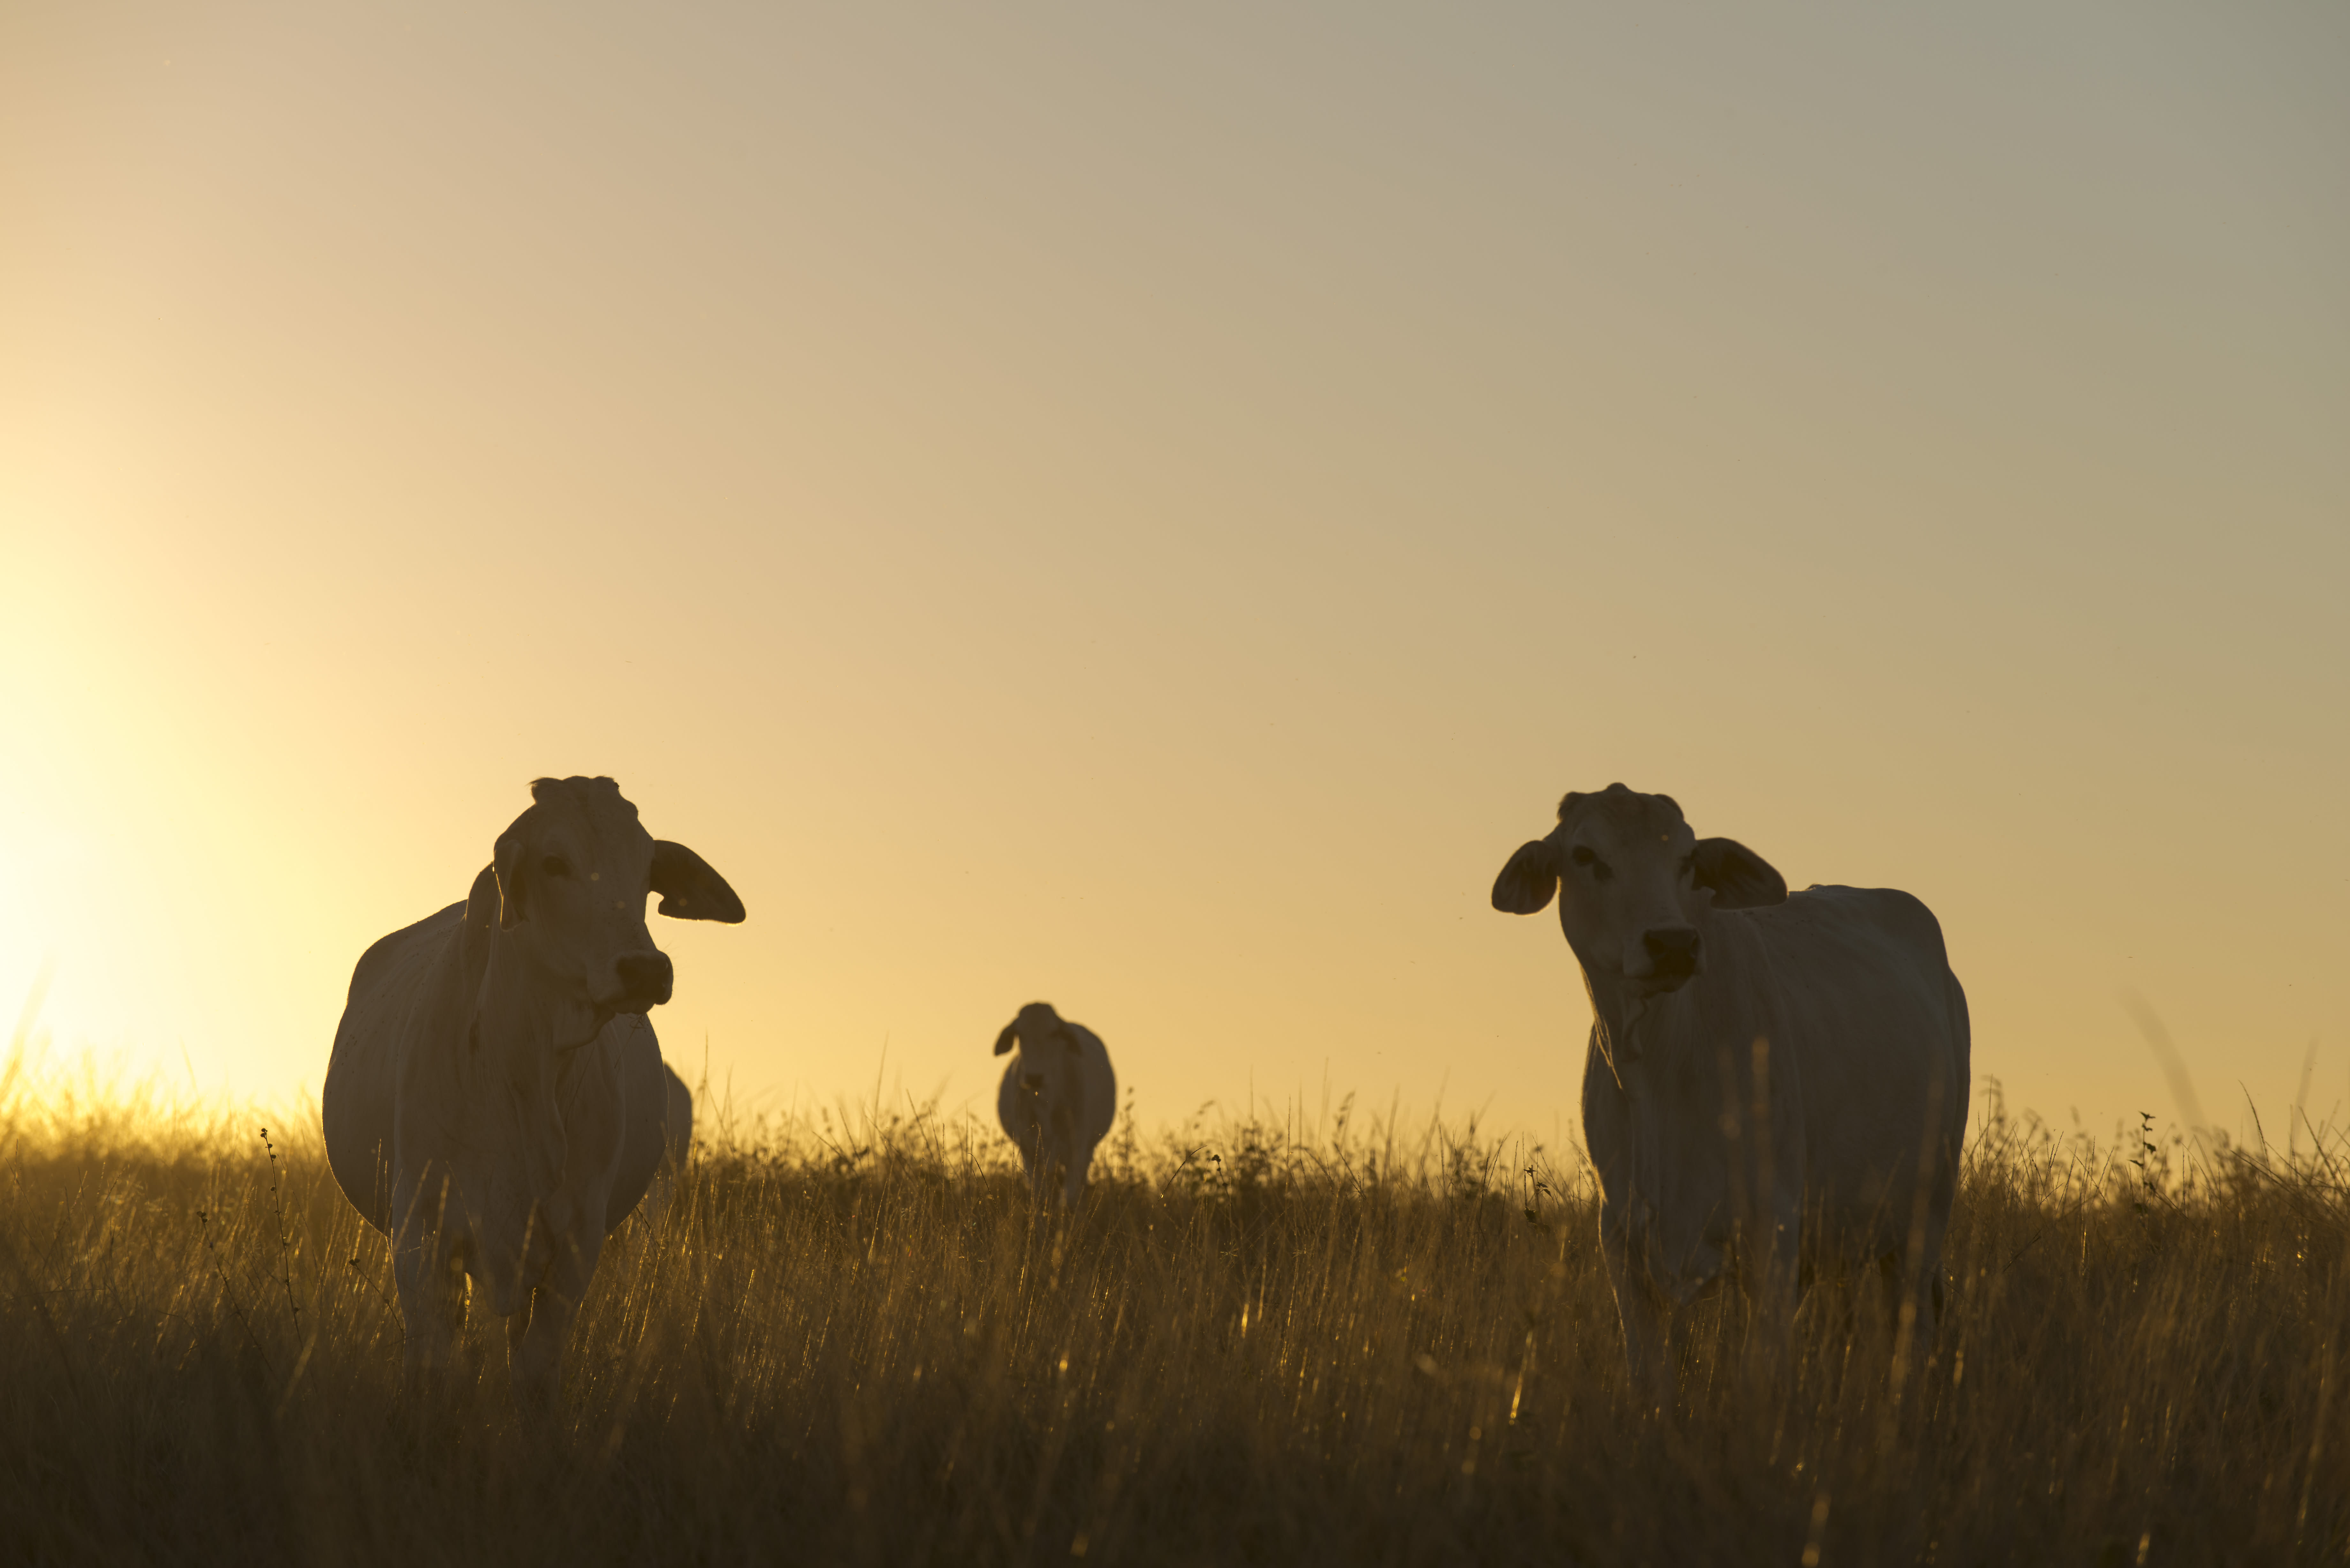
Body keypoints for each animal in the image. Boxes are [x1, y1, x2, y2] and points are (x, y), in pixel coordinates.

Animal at [322, 776, 743, 1406]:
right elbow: (432, 1368)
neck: (522, 1069)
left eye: (646, 867)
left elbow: (536, 1372)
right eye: (554, 862)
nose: (645, 969)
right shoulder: (420, 1233)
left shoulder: (575, 1241)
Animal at [993, 1002, 1117, 1206]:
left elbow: (1069, 1198)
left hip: (1087, 1149)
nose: (1035, 1077)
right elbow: (1040, 1196)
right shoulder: (1030, 1151)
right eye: (1020, 1034)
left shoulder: (1077, 1147)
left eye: (1054, 1033)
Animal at [1490, 784, 1969, 1398]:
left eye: (1688, 858)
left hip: (1923, 1216)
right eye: (1584, 855)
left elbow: (1760, 1376)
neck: (1659, 1073)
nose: (1672, 943)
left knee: (1912, 1329)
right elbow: (1651, 1381)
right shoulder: (1622, 1241)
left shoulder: (1771, 1233)